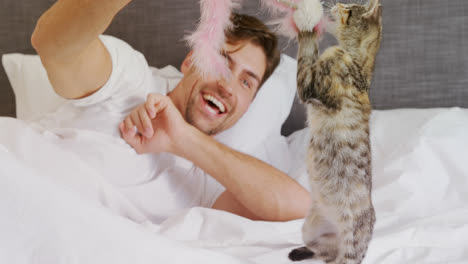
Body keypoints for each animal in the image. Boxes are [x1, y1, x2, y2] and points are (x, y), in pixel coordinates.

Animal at [288, 0, 384, 262]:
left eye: (349, 8)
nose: (338, 3)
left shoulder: (308, 86)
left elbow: (306, 52)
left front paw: (306, 20)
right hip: (310, 229)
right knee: (324, 253)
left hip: (352, 243)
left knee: (343, 257)